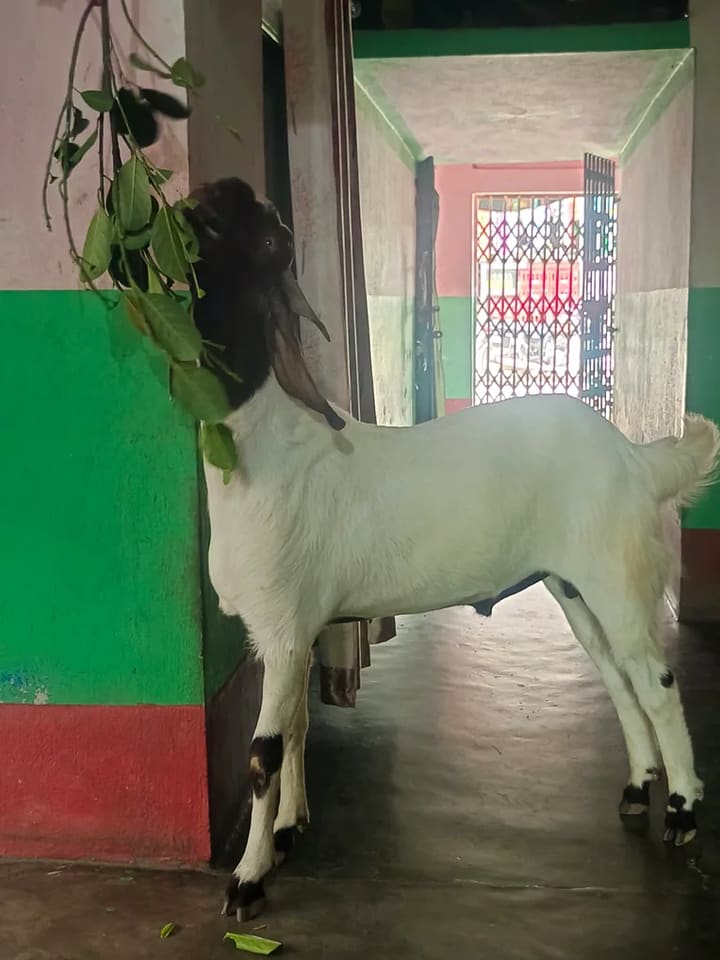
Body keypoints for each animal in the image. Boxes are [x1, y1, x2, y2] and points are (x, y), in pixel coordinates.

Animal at [185, 178, 719, 922]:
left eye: (251, 235)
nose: (195, 201)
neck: (263, 447)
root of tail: (635, 458)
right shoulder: (286, 631)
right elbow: (293, 730)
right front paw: (290, 830)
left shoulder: (287, 623)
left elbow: (262, 752)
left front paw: (248, 879)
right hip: (573, 585)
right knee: (619, 678)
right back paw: (640, 788)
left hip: (618, 576)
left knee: (657, 682)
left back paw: (682, 812)